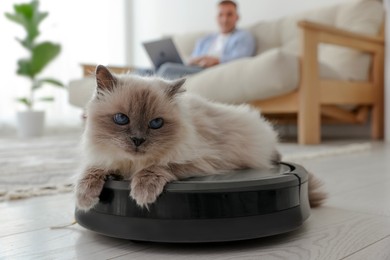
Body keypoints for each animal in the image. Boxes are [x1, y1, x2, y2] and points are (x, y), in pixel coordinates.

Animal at [74, 65, 326, 211]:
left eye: (156, 123)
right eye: (121, 119)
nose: (138, 140)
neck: (131, 165)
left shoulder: (200, 160)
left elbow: (158, 166)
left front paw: (142, 192)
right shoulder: (103, 159)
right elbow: (91, 171)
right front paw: (85, 198)